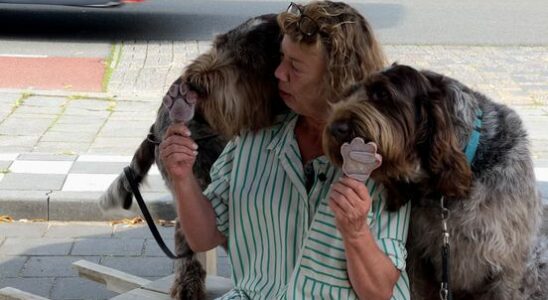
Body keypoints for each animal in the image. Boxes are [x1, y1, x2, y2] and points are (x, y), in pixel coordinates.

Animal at [97, 14, 282, 300]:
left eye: (247, 60)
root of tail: (156, 126)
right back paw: (188, 284)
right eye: (218, 44)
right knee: (186, 233)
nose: (191, 82)